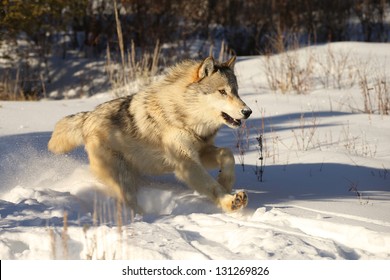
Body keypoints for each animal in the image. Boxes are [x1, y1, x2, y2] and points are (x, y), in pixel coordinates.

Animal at [47, 57, 253, 214]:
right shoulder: (186, 163)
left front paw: (226, 182)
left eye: (236, 91)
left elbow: (227, 154)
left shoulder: (201, 152)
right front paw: (230, 201)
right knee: (129, 202)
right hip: (122, 180)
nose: (248, 112)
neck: (183, 115)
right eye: (222, 92)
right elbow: (212, 187)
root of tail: (88, 117)